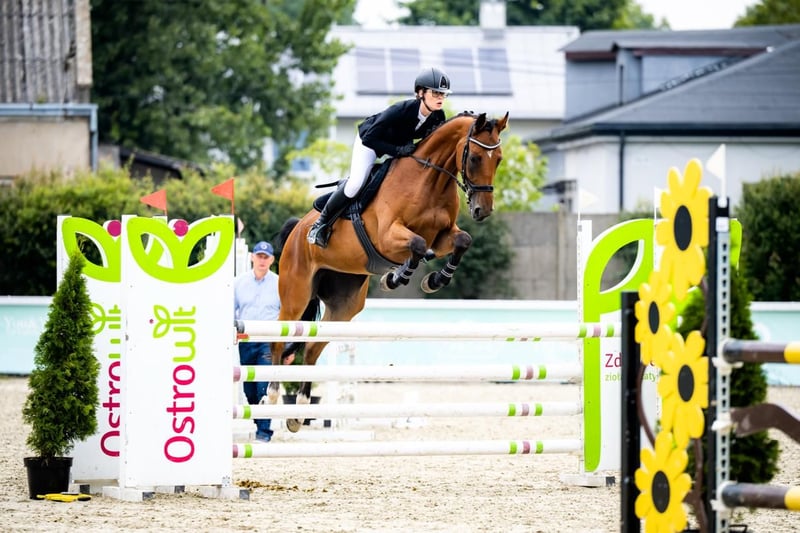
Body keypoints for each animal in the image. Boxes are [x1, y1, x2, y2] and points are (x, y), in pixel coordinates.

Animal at [269, 111, 509, 431]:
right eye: (475, 158)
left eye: (499, 159)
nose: (483, 210)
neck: (429, 180)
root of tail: (296, 230)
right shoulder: (388, 237)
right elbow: (417, 246)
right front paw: (395, 277)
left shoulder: (442, 237)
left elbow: (461, 241)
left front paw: (434, 280)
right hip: (295, 294)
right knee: (278, 338)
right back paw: (271, 396)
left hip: (344, 306)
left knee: (311, 349)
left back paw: (298, 413)